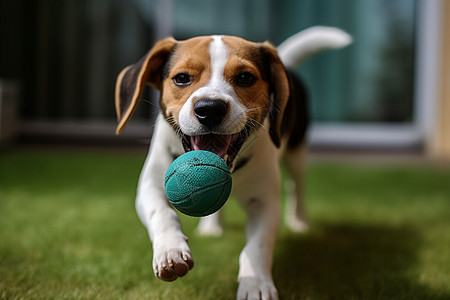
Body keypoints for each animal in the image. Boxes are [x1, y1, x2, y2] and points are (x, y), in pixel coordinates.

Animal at [114, 26, 350, 300]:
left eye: (245, 77)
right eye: (181, 78)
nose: (210, 108)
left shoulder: (264, 204)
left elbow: (257, 246)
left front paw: (256, 283)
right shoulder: (150, 186)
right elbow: (162, 213)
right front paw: (171, 251)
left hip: (297, 151)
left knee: (297, 186)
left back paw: (299, 221)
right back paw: (211, 227)